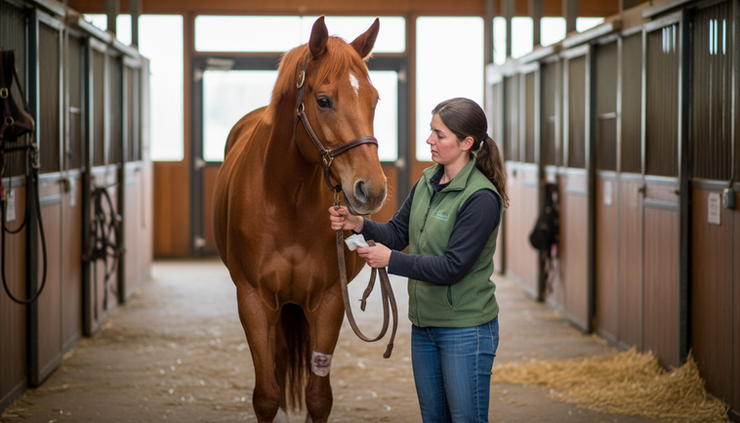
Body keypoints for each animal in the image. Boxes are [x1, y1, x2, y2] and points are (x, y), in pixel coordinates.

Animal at [212, 16, 388, 423]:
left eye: (374, 99)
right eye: (323, 100)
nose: (371, 190)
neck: (287, 199)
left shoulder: (329, 301)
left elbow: (318, 396)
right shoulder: (254, 302)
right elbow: (266, 396)